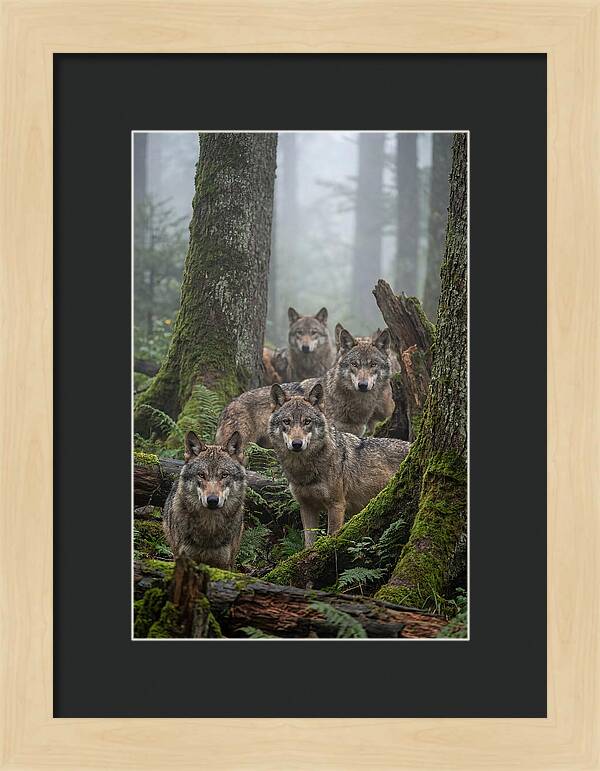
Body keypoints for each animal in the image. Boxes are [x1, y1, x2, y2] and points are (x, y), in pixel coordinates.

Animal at [268, 382, 410, 546]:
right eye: (286, 421)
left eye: (307, 421)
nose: (297, 444)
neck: (303, 470)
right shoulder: (306, 507)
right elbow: (308, 543)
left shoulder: (336, 505)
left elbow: (332, 536)